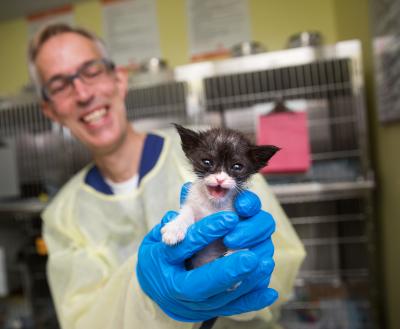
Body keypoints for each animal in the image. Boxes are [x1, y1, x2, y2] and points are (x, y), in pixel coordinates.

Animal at [161, 124, 280, 268]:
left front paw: (238, 254)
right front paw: (175, 227)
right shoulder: (193, 202)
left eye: (237, 166)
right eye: (207, 162)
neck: (214, 205)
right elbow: (187, 211)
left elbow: (241, 235)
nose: (220, 179)